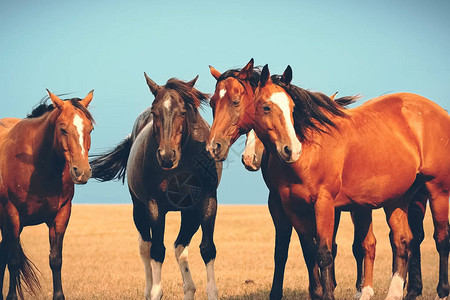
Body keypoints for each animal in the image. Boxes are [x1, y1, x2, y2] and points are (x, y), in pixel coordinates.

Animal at [0, 90, 95, 298]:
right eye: (63, 129)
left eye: (90, 129)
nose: (82, 172)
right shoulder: (12, 215)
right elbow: (14, 261)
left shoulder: (60, 215)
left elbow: (55, 259)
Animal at [89, 73, 221, 300]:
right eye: (154, 111)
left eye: (183, 112)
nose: (166, 156)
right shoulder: (154, 206)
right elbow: (157, 251)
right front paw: (156, 291)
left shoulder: (207, 201)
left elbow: (207, 249)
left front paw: (210, 291)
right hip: (139, 209)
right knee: (146, 247)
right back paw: (149, 288)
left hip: (189, 214)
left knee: (180, 246)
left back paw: (189, 288)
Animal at [207, 59, 366, 300]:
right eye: (212, 103)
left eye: (235, 101)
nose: (214, 146)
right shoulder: (280, 204)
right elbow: (285, 250)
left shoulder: (322, 205)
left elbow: (321, 248)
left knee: (355, 245)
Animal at [250, 64, 450, 298]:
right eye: (266, 107)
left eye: (292, 108)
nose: (290, 149)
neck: (312, 147)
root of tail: (440, 113)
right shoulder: (292, 206)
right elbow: (307, 249)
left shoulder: (325, 204)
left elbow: (326, 251)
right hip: (398, 199)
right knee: (403, 241)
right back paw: (396, 292)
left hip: (437, 191)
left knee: (441, 238)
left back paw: (441, 291)